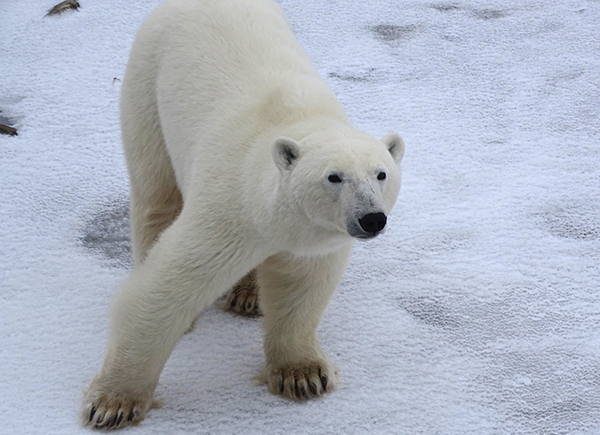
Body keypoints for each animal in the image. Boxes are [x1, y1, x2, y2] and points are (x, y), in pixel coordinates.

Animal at [82, 0, 406, 430]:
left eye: (381, 174)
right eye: (334, 177)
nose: (372, 218)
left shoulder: (309, 240)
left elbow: (301, 287)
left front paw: (303, 375)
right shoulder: (228, 211)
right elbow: (163, 289)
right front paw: (111, 403)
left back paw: (248, 296)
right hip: (146, 85)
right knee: (155, 193)